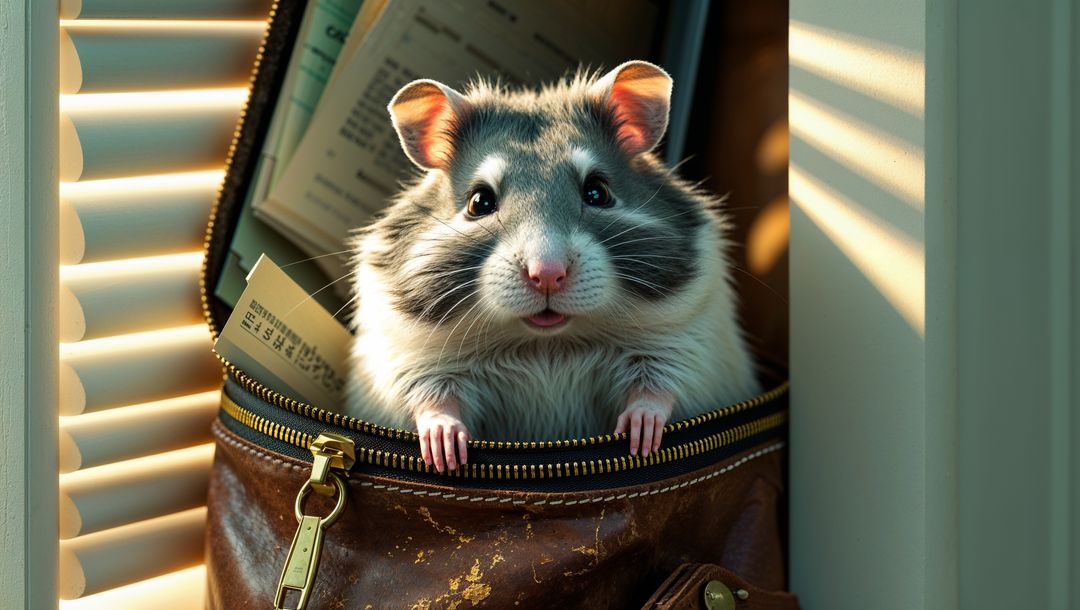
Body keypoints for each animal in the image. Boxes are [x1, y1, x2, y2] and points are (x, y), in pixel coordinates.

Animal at [346, 61, 760, 472]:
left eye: (598, 192)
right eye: (480, 201)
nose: (547, 275)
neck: (546, 345)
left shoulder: (684, 347)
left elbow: (655, 391)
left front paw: (640, 438)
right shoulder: (410, 363)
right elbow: (433, 402)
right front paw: (445, 453)